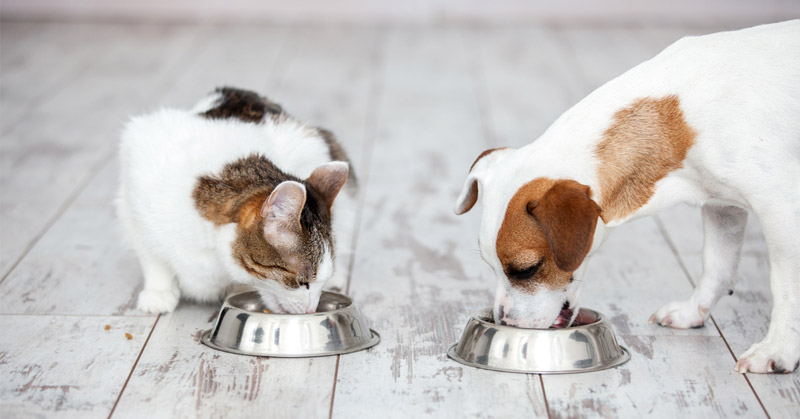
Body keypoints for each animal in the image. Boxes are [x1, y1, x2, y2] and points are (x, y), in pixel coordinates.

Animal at [116, 87, 356, 314]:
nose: (311, 310)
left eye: (318, 283)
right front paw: (158, 291)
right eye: (302, 282)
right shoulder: (134, 184)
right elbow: (150, 254)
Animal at [456, 19, 800, 374]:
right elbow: (716, 266)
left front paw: (778, 349)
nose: (504, 322)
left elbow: (785, 286)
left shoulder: (781, 207)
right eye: (491, 266)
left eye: (526, 269)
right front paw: (693, 311)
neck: (678, 119)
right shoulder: (722, 207)